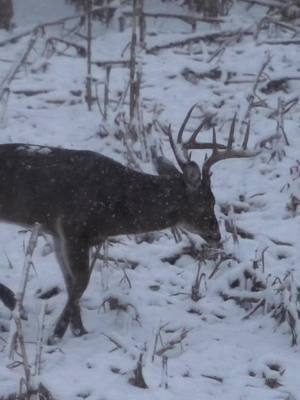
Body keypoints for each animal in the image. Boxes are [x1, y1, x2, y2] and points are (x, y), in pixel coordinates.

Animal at [0, 105, 254, 340]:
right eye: (207, 202)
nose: (216, 234)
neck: (117, 204)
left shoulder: (58, 233)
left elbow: (71, 282)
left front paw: (78, 329)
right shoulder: (74, 228)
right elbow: (81, 282)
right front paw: (57, 334)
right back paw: (16, 304)